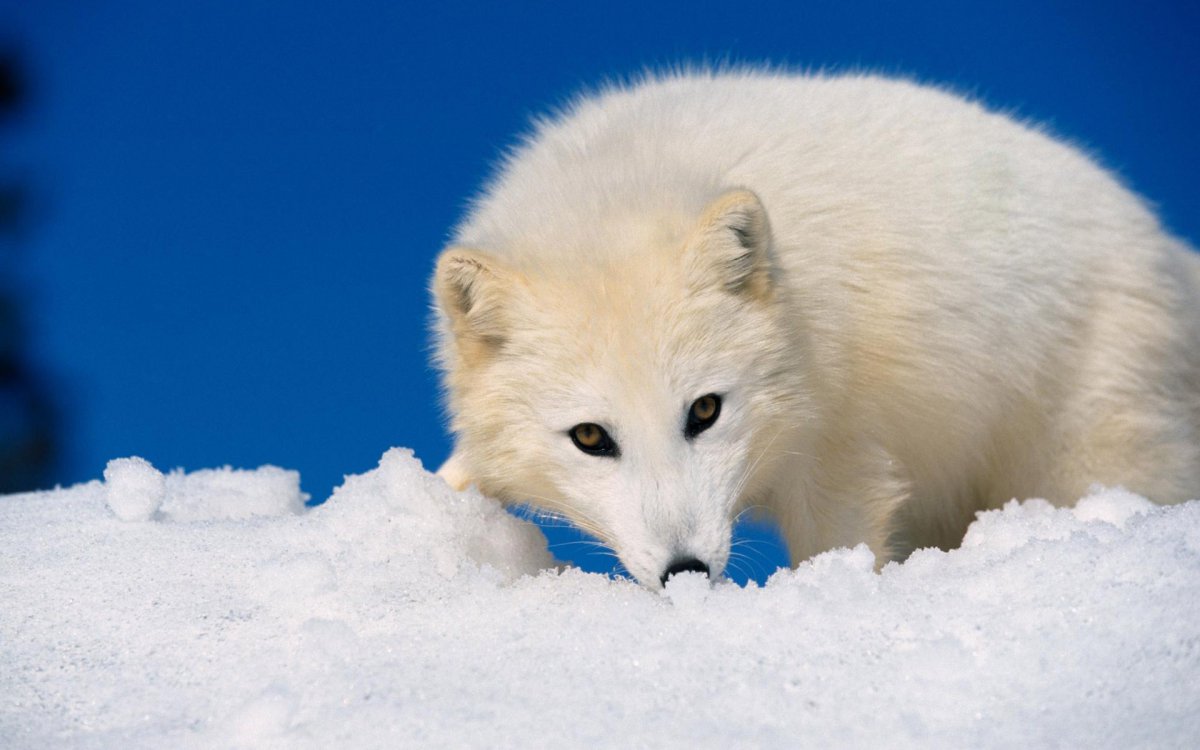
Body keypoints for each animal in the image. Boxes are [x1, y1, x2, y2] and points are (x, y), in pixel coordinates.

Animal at [432, 71, 1200, 585]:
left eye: (705, 410)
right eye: (590, 438)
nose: (685, 571)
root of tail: (1165, 247)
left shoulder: (842, 455)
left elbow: (841, 547)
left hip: (1086, 458)